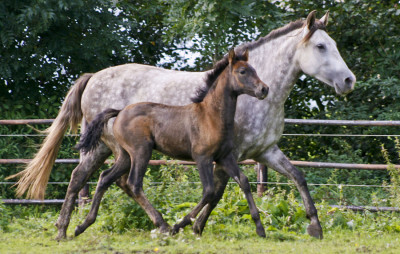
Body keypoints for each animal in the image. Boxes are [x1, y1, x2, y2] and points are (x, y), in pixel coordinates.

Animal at [75, 48, 268, 237]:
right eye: (242, 71)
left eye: (254, 70)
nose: (264, 89)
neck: (211, 116)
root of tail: (120, 112)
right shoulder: (202, 157)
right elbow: (209, 191)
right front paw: (180, 225)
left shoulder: (224, 157)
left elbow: (243, 181)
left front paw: (260, 228)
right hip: (141, 151)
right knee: (133, 184)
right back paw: (164, 226)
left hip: (125, 156)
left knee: (105, 178)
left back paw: (82, 225)